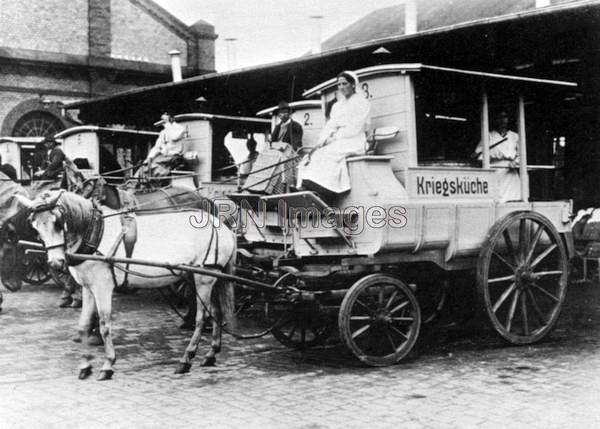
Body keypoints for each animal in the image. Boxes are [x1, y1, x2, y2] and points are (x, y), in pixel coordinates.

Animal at [17, 189, 237, 380]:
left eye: (58, 222)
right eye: (34, 225)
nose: (56, 263)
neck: (95, 233)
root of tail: (222, 226)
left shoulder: (103, 286)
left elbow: (104, 325)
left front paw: (108, 365)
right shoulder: (88, 287)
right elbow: (83, 326)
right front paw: (85, 366)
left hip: (203, 279)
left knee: (202, 318)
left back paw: (186, 359)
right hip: (204, 277)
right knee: (216, 313)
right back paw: (210, 355)